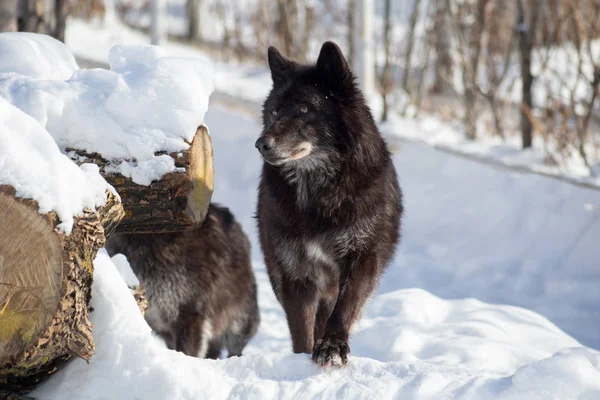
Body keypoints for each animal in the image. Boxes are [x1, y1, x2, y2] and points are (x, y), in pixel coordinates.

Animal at [254, 39, 404, 366]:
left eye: (304, 108)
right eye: (274, 112)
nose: (261, 143)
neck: (319, 194)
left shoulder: (361, 258)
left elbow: (344, 308)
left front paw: (333, 346)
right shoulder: (295, 273)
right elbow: (301, 329)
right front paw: (303, 357)